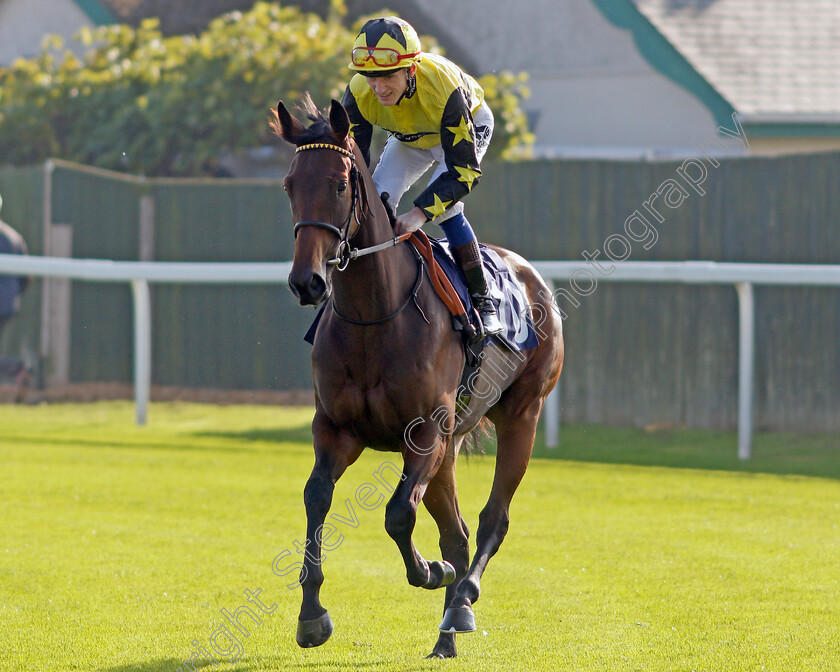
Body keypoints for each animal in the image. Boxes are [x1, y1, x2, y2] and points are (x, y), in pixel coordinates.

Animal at [272, 97, 564, 660]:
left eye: (339, 185)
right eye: (290, 184)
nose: (307, 282)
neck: (374, 316)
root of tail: (530, 276)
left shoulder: (426, 432)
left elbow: (397, 515)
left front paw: (431, 572)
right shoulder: (337, 429)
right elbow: (317, 498)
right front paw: (312, 616)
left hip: (522, 414)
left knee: (492, 519)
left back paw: (462, 598)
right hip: (450, 448)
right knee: (457, 530)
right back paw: (447, 632)